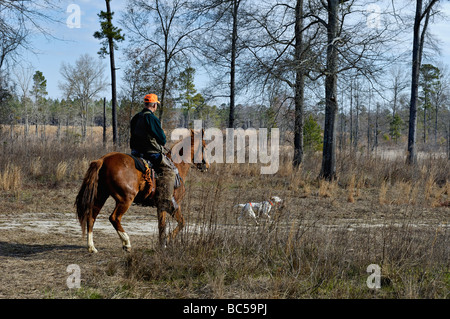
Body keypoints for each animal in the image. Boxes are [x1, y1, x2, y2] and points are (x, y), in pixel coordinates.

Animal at [74, 129, 208, 252]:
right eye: (204, 146)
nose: (206, 166)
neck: (177, 166)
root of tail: (103, 160)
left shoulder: (161, 207)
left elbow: (162, 225)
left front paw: (162, 243)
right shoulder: (171, 204)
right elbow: (181, 223)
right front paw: (167, 241)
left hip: (101, 195)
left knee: (91, 216)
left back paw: (91, 247)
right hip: (125, 199)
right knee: (114, 218)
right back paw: (126, 243)